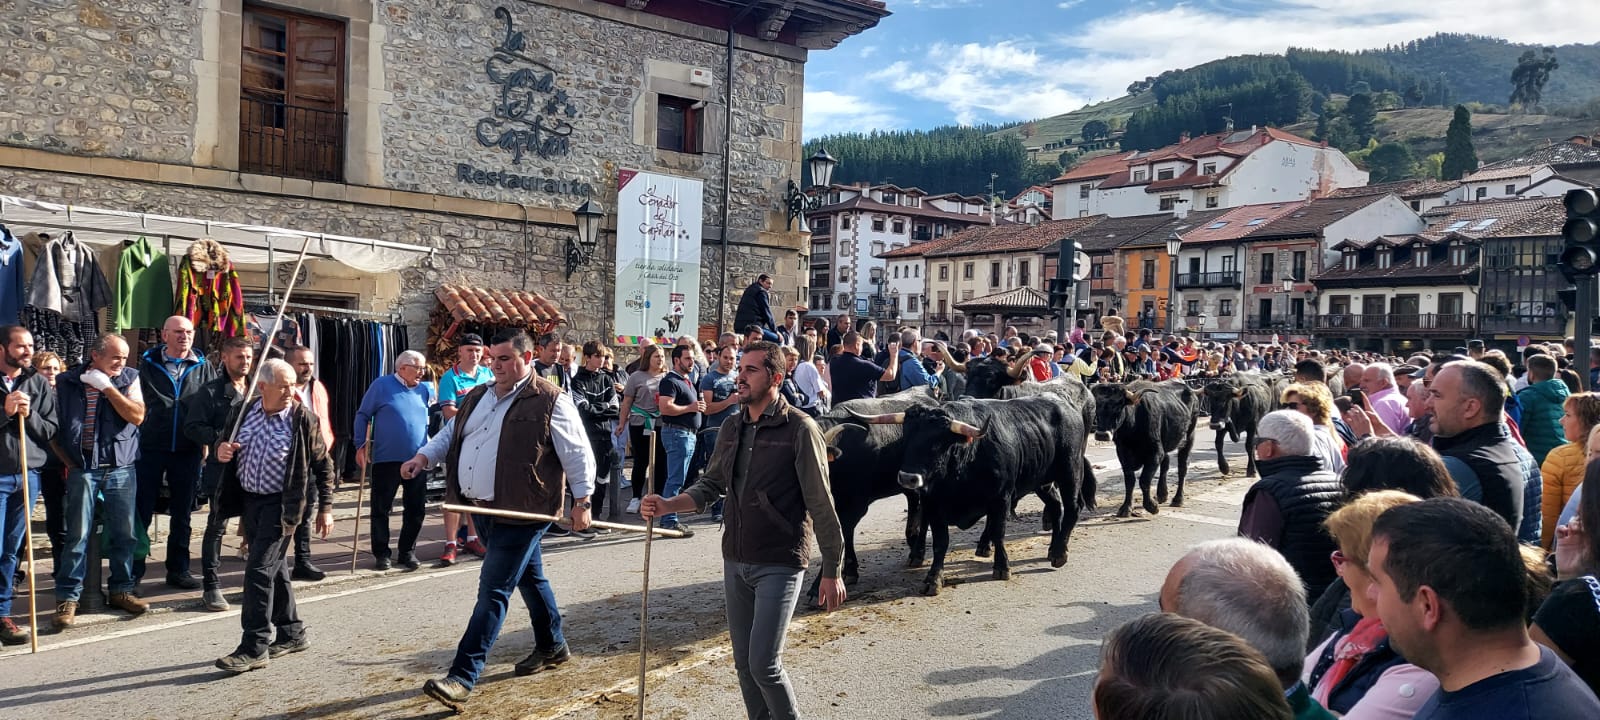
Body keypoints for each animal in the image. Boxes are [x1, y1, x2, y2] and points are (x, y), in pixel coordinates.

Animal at [851, 393, 1088, 595]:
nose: (908, 478)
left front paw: (1002, 567)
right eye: (906, 437)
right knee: (1056, 506)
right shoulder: (933, 504)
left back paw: (1059, 554)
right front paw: (933, 579)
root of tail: (1064, 403)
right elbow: (940, 542)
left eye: (937, 442)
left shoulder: (1001, 498)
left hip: (1070, 469)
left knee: (1072, 508)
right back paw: (1053, 549)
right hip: (1042, 480)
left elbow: (999, 532)